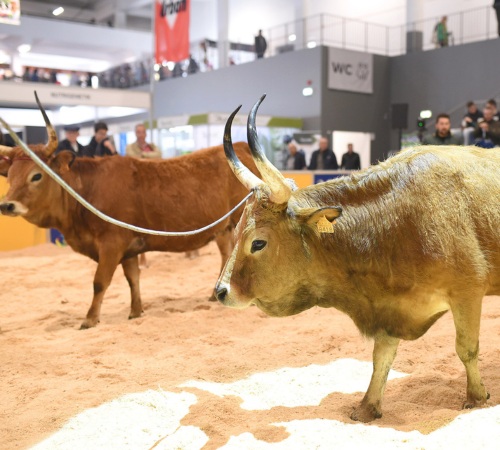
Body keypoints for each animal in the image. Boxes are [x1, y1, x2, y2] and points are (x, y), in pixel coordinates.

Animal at [0, 96, 258, 328]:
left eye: (36, 175)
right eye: (9, 176)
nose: (7, 205)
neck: (88, 190)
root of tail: (241, 146)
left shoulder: (112, 244)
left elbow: (100, 282)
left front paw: (90, 319)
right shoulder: (130, 248)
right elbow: (133, 278)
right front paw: (136, 311)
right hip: (224, 229)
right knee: (226, 255)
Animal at [215, 97, 500, 422]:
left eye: (258, 242)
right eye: (235, 230)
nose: (220, 291)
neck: (398, 220)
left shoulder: (468, 291)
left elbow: (466, 348)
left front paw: (476, 397)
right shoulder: (390, 306)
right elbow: (382, 357)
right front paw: (368, 407)